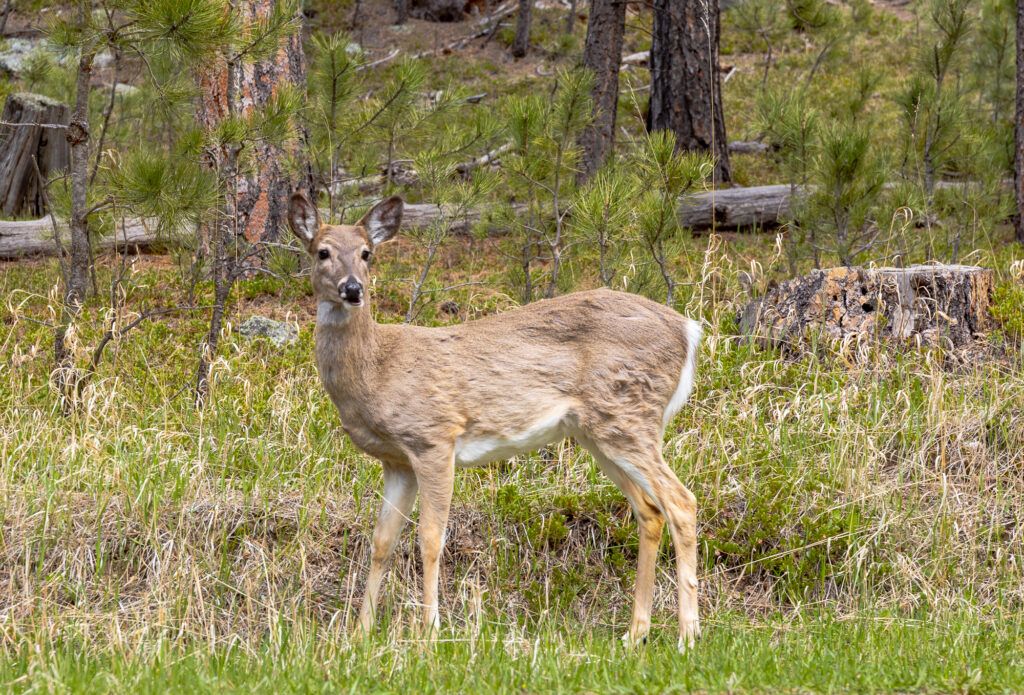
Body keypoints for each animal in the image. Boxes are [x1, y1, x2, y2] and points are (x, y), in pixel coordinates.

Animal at [288, 191, 704, 650]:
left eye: (367, 253)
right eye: (322, 252)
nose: (353, 289)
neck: (376, 370)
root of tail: (689, 329)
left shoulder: (434, 436)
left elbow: (430, 538)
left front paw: (429, 633)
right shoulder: (396, 461)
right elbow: (382, 542)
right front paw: (360, 632)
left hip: (629, 414)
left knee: (682, 502)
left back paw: (688, 636)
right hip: (599, 431)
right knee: (650, 510)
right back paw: (635, 634)